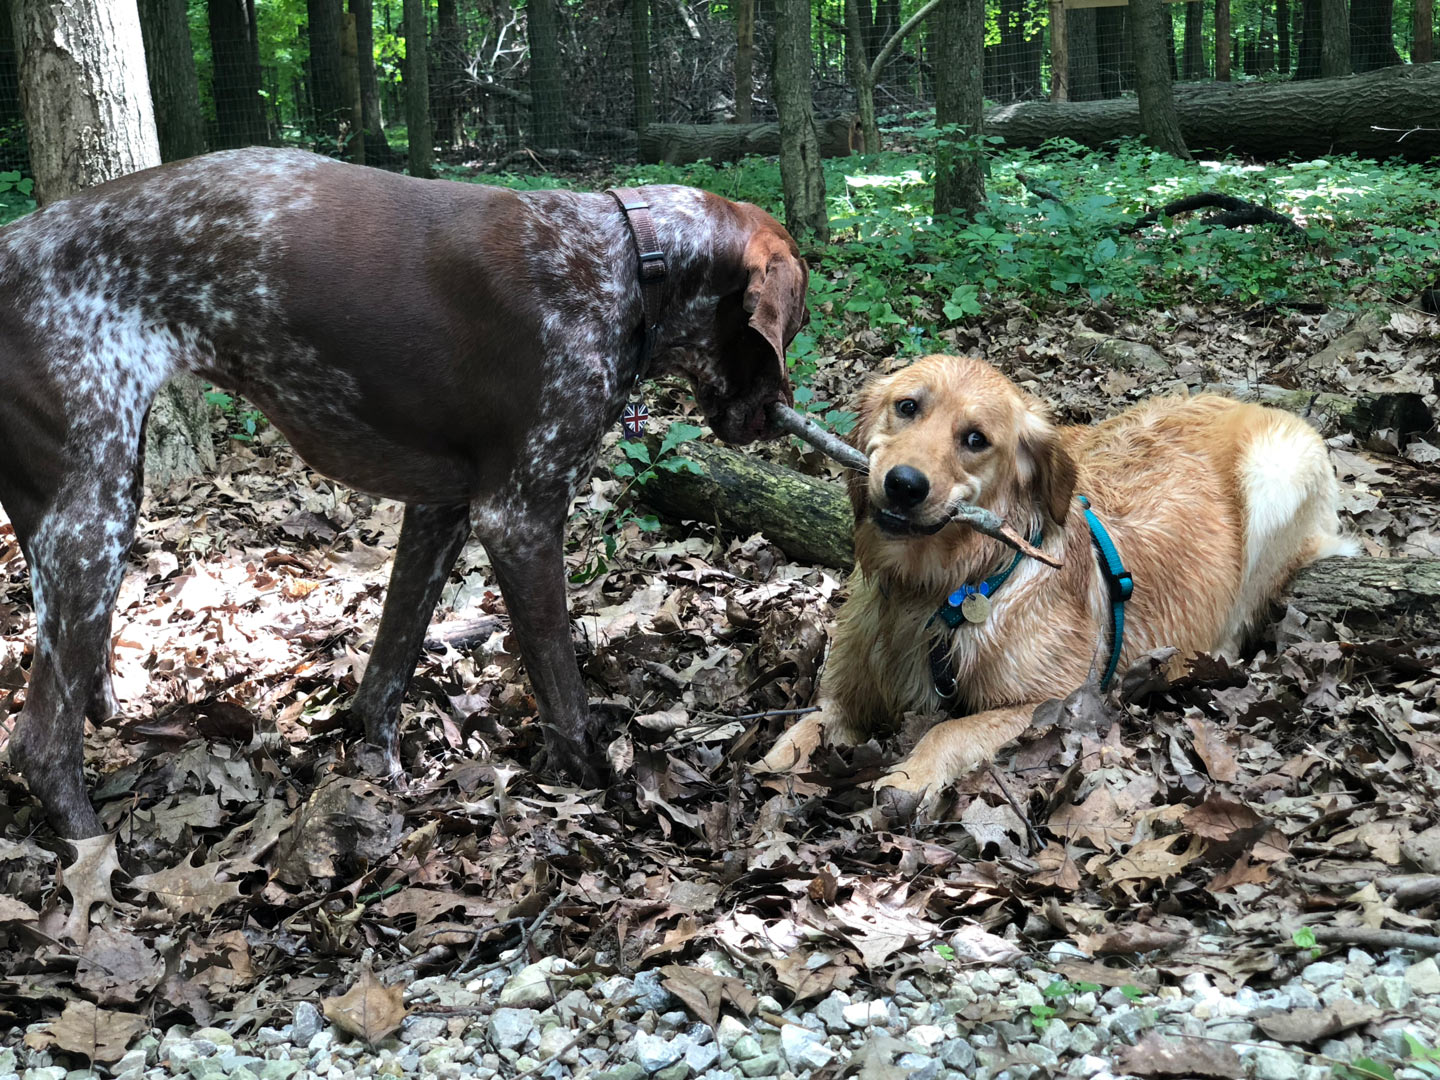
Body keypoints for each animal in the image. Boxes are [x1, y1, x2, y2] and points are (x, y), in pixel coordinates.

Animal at [0, 148, 812, 840]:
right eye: (792, 324)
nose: (774, 414)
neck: (630, 258)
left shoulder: (439, 509)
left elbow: (390, 664)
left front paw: (380, 766)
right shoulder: (519, 518)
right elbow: (562, 692)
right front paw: (595, 788)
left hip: (86, 514)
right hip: (93, 516)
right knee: (39, 742)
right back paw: (92, 849)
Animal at [760, 357, 1353, 817]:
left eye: (975, 439)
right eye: (907, 407)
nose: (904, 485)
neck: (934, 590)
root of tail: (1244, 401)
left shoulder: (1054, 699)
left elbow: (947, 731)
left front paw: (909, 778)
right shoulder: (844, 694)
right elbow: (801, 729)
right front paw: (767, 768)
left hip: (1276, 472)